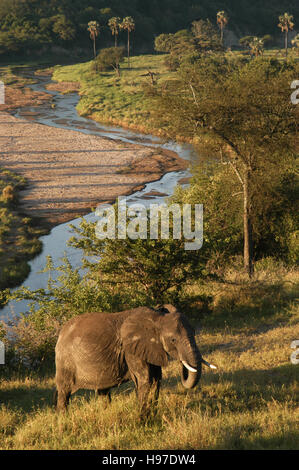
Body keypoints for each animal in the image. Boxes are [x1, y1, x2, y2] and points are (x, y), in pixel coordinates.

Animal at [55, 304, 217, 418]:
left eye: (194, 332)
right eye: (173, 340)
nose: (183, 363)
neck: (157, 318)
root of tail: (61, 333)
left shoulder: (149, 348)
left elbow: (156, 379)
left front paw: (152, 415)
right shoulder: (131, 349)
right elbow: (145, 379)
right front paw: (143, 419)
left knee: (103, 391)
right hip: (65, 361)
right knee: (64, 391)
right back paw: (64, 420)